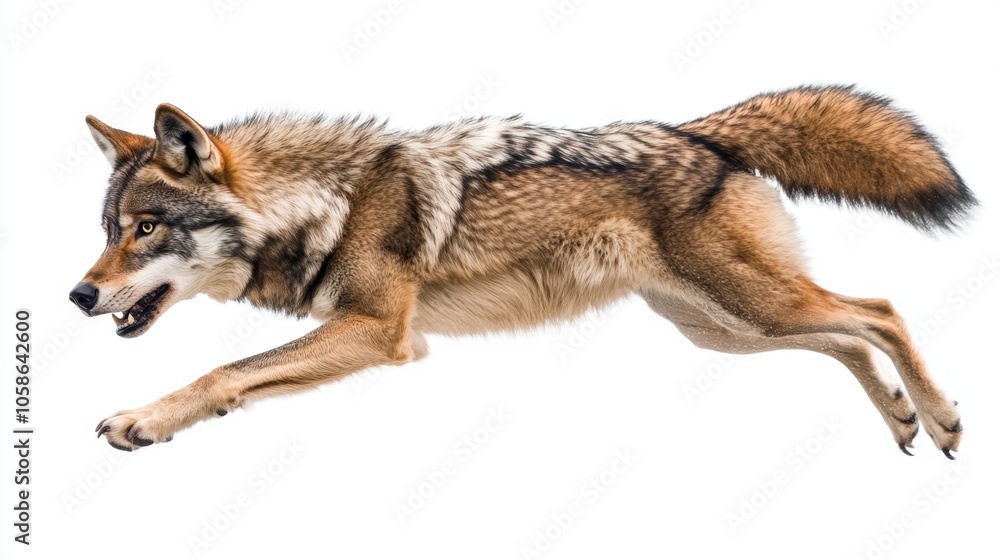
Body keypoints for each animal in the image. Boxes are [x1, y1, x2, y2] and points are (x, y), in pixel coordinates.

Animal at [71, 85, 974, 457]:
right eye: (108, 231)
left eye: (147, 229)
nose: (78, 295)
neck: (329, 201)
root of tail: (698, 132)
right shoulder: (369, 334)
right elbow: (235, 375)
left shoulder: (378, 332)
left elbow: (223, 371)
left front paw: (142, 420)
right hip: (723, 330)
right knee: (849, 335)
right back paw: (902, 420)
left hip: (748, 308)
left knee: (880, 311)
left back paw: (939, 419)